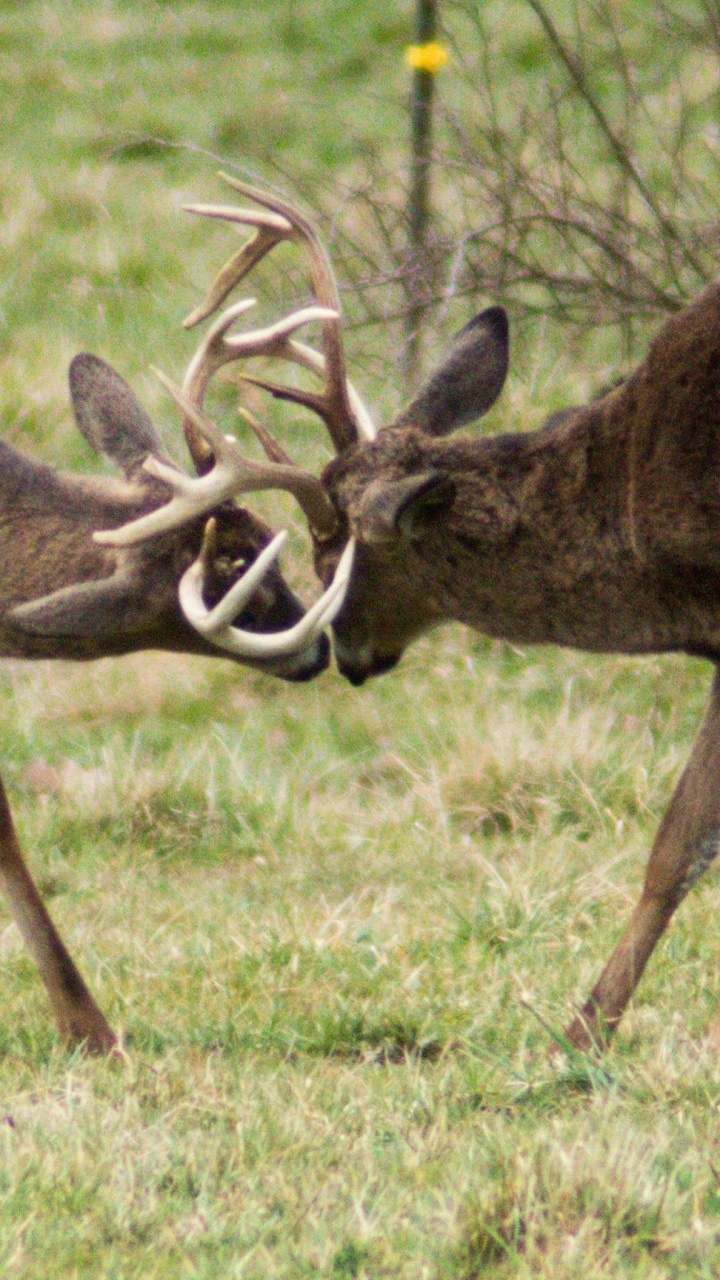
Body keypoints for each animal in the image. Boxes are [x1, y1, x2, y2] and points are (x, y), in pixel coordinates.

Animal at [102, 174, 720, 1055]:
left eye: (330, 553)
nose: (345, 654)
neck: (637, 508)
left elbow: (675, 847)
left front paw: (580, 1034)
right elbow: (687, 842)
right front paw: (588, 1028)